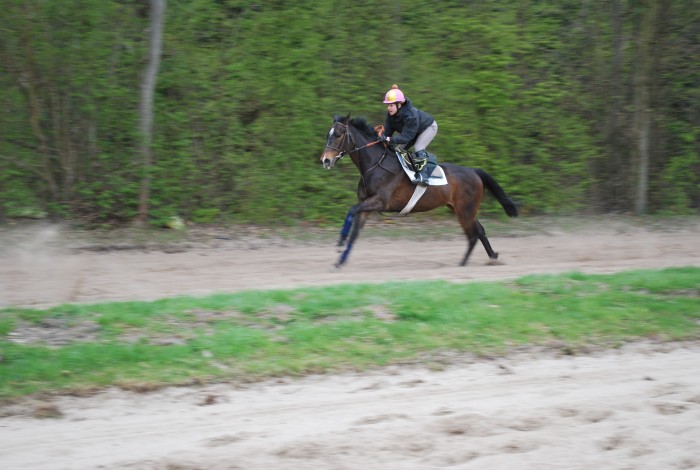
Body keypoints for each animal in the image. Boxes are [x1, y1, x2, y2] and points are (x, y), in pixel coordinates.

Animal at [320, 114, 516, 268]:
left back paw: (462, 263)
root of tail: (474, 171)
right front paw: (340, 261)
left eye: (338, 135)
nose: (325, 160)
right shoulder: (366, 205)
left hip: (465, 211)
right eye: (328, 134)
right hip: (462, 209)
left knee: (473, 235)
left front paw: (340, 242)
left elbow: (351, 210)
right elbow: (354, 232)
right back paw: (492, 257)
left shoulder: (379, 201)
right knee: (480, 231)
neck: (375, 165)